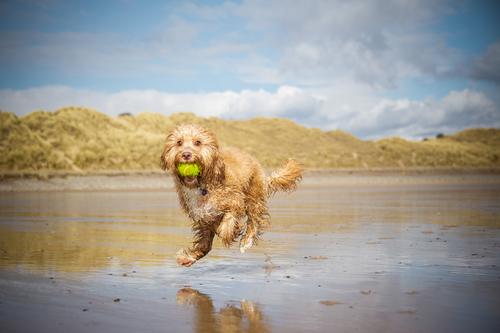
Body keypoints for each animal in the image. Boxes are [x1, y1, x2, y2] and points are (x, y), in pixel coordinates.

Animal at [161, 123, 300, 266]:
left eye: (198, 142)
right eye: (179, 142)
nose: (186, 154)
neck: (202, 185)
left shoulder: (235, 200)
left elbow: (227, 224)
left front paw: (230, 232)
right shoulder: (203, 218)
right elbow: (205, 244)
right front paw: (188, 257)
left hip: (253, 195)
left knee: (254, 220)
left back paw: (246, 242)